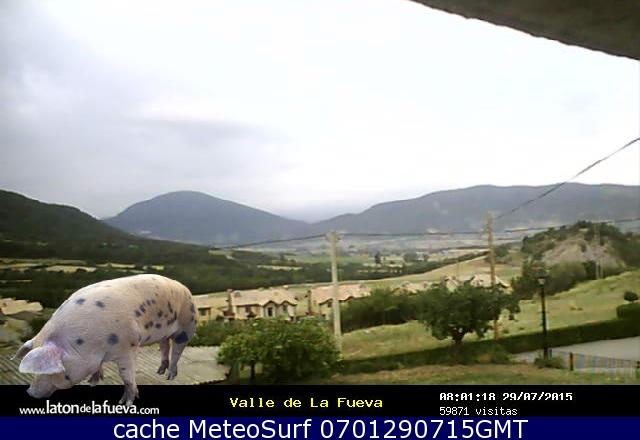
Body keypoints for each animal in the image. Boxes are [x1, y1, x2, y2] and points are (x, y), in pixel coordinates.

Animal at [12, 274, 197, 405]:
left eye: (49, 371)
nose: (30, 392)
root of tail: (185, 288)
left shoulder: (128, 346)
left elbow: (127, 375)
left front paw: (125, 403)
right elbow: (97, 367)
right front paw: (92, 382)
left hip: (187, 324)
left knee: (177, 350)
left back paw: (169, 377)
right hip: (163, 333)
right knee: (165, 345)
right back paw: (159, 371)